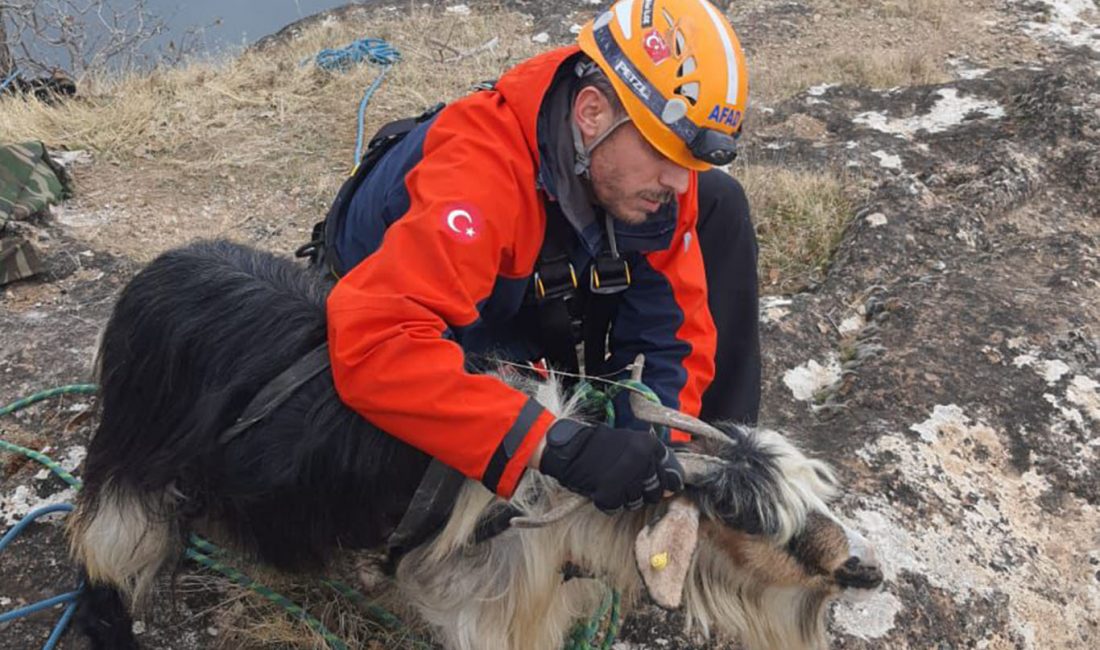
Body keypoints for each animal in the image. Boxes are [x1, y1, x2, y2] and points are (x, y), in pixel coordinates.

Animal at [68, 241, 880, 650]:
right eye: (745, 519)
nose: (861, 570)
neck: (555, 505)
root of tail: (156, 272)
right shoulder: (481, 612)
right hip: (131, 450)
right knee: (105, 539)